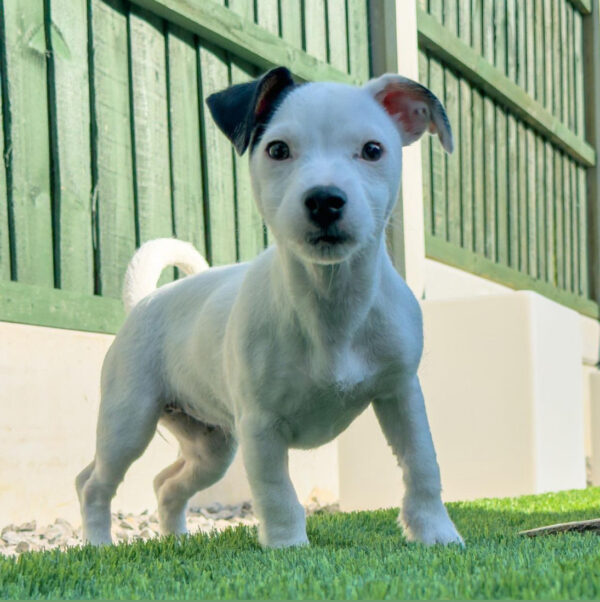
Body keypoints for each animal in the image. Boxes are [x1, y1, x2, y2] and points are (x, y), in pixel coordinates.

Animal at [76, 68, 464, 548]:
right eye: (278, 149)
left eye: (373, 150)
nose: (324, 200)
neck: (330, 305)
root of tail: (144, 300)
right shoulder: (260, 426)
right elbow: (278, 491)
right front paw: (287, 548)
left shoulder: (401, 394)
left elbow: (422, 464)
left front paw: (436, 534)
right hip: (128, 422)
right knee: (93, 482)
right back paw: (98, 544)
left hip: (212, 446)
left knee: (165, 484)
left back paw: (177, 538)